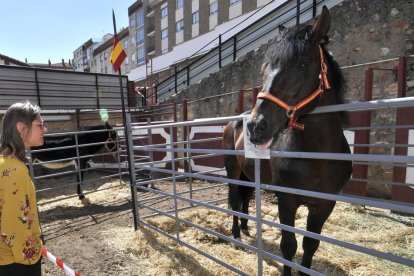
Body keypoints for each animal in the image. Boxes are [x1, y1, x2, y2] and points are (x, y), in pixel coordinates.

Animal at [223, 7, 352, 276]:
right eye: (265, 69)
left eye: (302, 65)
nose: (256, 126)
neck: (317, 158)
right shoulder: (286, 200)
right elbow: (289, 245)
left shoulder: (324, 205)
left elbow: (310, 245)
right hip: (233, 171)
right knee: (234, 199)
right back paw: (236, 234)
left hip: (248, 174)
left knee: (244, 198)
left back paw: (247, 227)